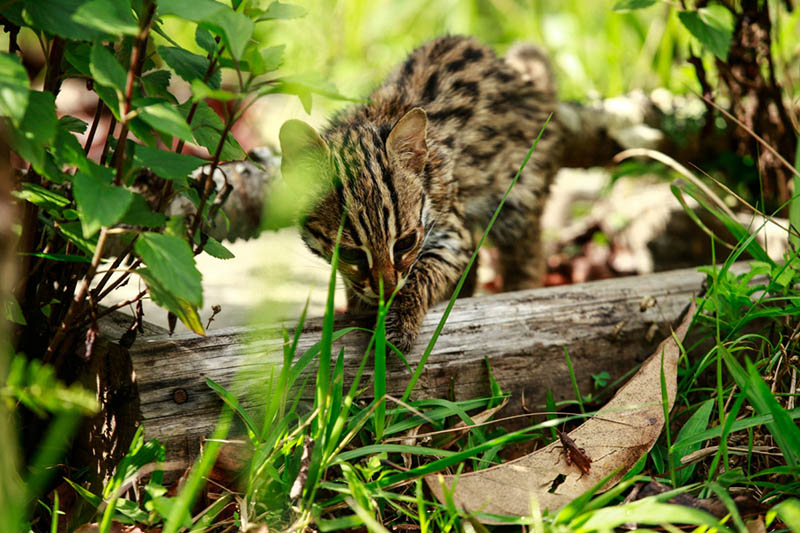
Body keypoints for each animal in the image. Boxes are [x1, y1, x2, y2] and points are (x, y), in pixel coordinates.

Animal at [282, 35, 564, 352]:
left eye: (406, 242)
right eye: (350, 253)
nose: (386, 290)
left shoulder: (451, 232)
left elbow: (424, 271)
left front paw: (398, 322)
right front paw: (360, 305)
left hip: (518, 196)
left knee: (526, 253)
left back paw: (519, 290)